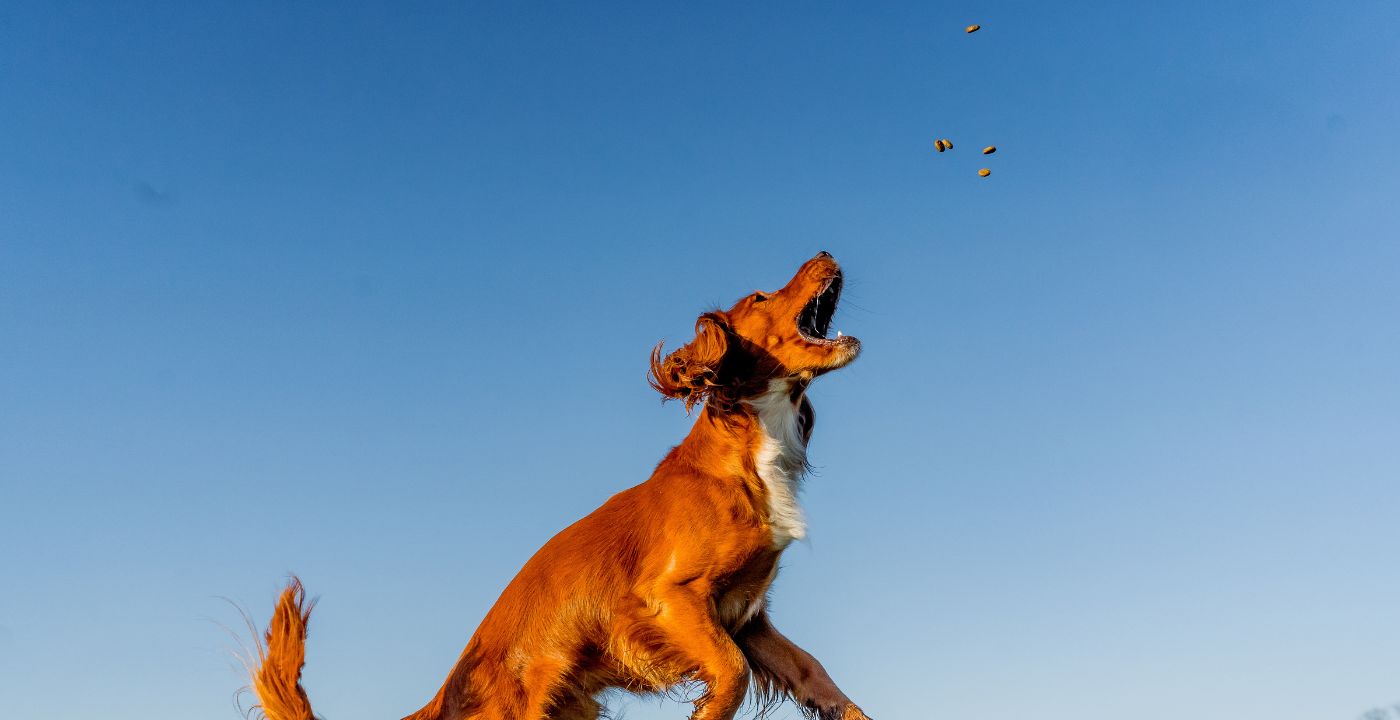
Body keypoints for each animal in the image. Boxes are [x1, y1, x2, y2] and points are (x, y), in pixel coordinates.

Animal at [246, 250, 868, 717]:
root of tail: (442, 699)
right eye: (760, 298)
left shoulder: (749, 618)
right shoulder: (669, 598)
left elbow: (818, 675)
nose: (825, 252)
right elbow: (731, 673)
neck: (749, 454)